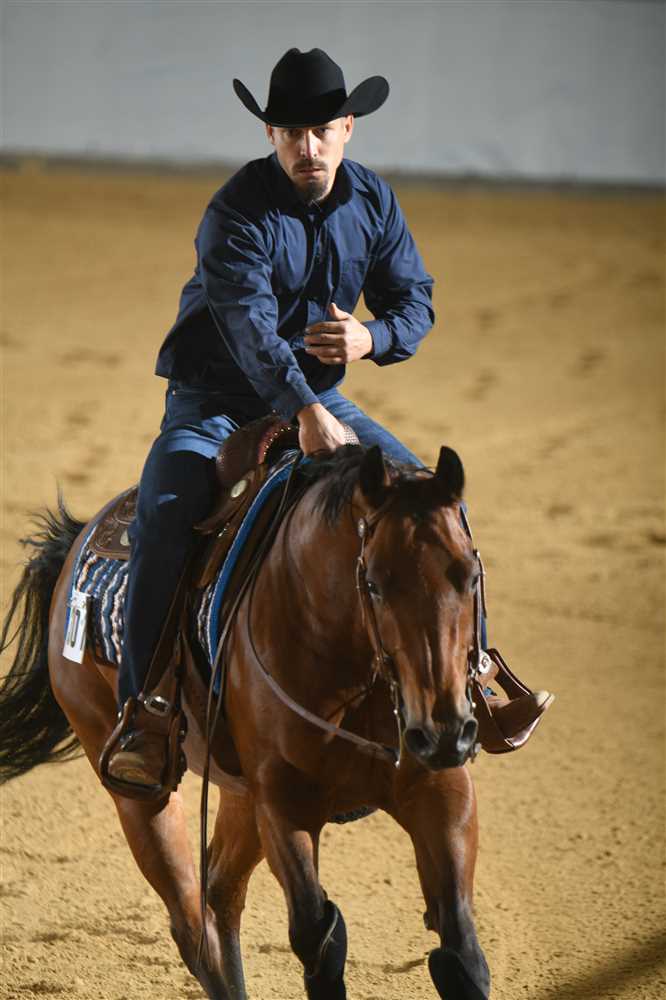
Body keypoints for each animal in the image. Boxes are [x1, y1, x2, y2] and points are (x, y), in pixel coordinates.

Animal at [0, 443, 490, 1000]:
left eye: (470, 575)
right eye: (374, 583)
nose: (444, 731)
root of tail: (75, 547)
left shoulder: (438, 788)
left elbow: (461, 951)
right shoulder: (284, 802)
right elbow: (318, 936)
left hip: (240, 795)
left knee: (219, 893)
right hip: (137, 790)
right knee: (193, 924)